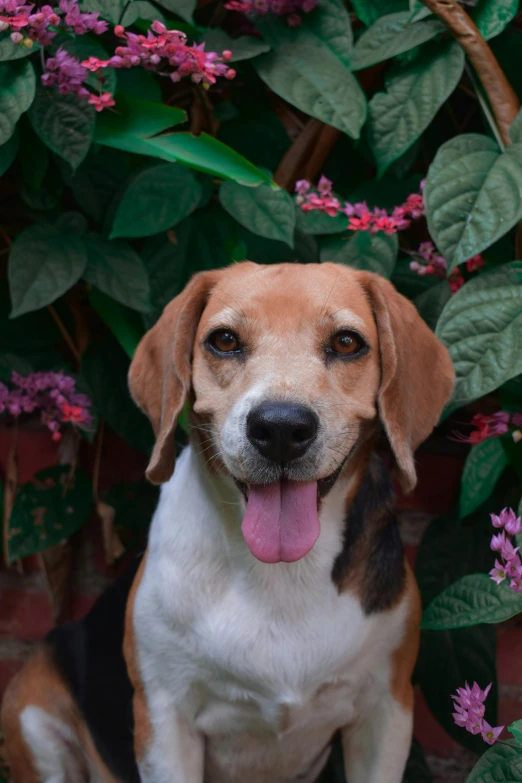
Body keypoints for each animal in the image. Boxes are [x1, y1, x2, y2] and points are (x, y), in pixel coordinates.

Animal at [2, 264, 452, 783]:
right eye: (224, 340)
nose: (281, 428)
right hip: (34, 714)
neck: (281, 576)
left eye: (345, 343)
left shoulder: (386, 712)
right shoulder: (164, 720)